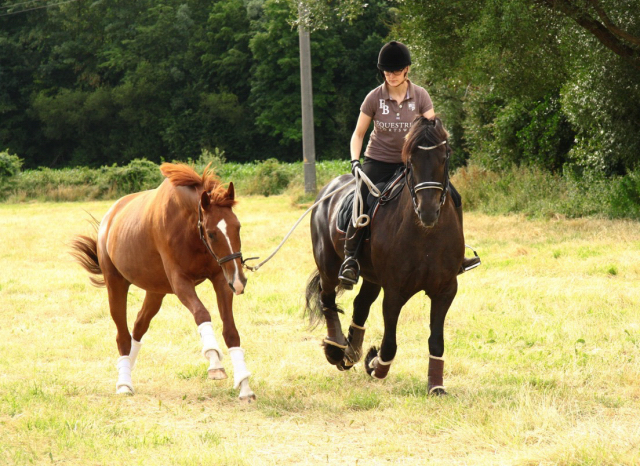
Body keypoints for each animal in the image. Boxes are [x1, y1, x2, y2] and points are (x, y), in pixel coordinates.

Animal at [71, 163, 256, 400]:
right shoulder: (180, 282)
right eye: (212, 233)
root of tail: (110, 217)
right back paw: (124, 383)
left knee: (138, 327)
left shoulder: (221, 279)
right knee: (123, 336)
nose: (239, 281)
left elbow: (231, 331)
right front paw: (215, 362)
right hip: (116, 285)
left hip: (155, 291)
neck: (189, 229)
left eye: (238, 227)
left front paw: (244, 385)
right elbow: (202, 314)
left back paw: (128, 367)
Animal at [306, 117, 462, 394]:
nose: (428, 211)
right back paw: (336, 349)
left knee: (360, 305)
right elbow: (389, 344)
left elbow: (436, 340)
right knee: (327, 299)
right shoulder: (394, 291)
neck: (426, 236)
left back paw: (351, 352)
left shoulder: (445, 290)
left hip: (371, 277)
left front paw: (436, 385)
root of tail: (328, 189)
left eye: (444, 157)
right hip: (329, 267)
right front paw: (374, 363)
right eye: (411, 162)